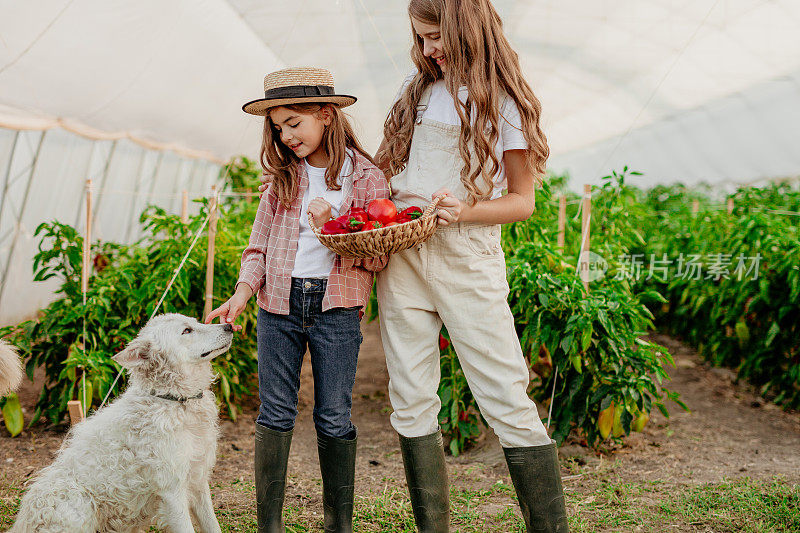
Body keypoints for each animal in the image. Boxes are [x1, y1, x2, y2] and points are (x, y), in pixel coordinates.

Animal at [10, 312, 233, 532]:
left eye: (196, 322)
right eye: (186, 331)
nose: (229, 326)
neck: (176, 401)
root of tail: (22, 523)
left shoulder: (198, 481)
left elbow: (212, 525)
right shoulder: (172, 492)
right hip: (78, 501)